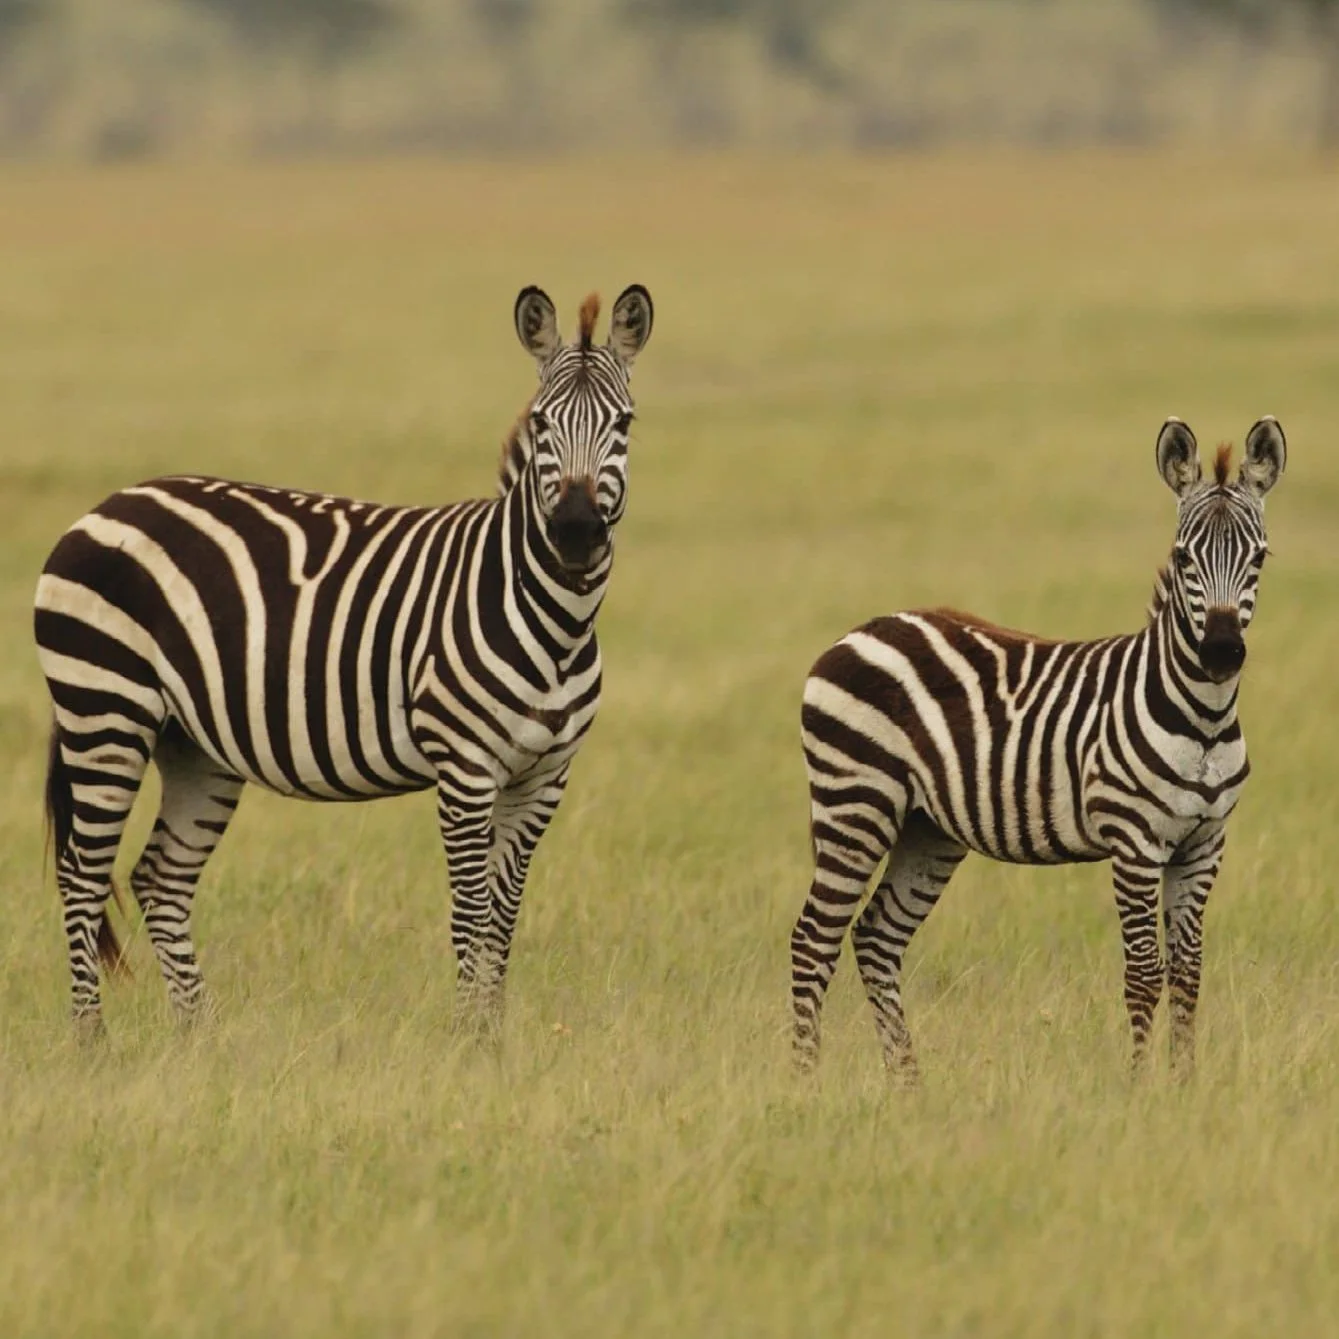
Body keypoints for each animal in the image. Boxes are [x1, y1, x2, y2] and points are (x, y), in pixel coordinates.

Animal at [35, 282, 654, 1040]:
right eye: (540, 423)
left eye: (623, 423)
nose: (574, 532)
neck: (551, 618)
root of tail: (103, 506)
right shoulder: (465, 766)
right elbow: (471, 909)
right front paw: (469, 1039)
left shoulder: (545, 776)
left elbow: (504, 913)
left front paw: (494, 1032)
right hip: (105, 709)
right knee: (83, 875)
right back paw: (92, 1039)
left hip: (193, 745)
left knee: (160, 877)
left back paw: (201, 1038)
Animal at [791, 416, 1286, 1080]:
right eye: (1184, 556)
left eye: (1259, 557)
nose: (1223, 654)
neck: (1203, 719)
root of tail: (858, 631)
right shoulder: (1133, 843)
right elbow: (1143, 974)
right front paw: (1140, 1086)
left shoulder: (1204, 844)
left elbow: (1187, 974)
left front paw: (1184, 1084)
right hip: (855, 802)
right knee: (813, 941)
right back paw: (805, 1082)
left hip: (927, 829)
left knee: (875, 938)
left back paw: (908, 1084)